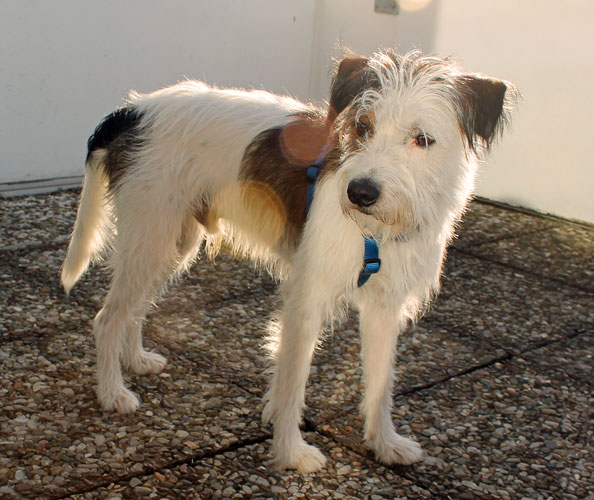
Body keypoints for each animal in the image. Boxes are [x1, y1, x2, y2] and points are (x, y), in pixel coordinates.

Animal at [61, 49, 516, 473]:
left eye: (422, 139)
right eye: (362, 127)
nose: (360, 192)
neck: (375, 233)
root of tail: (134, 109)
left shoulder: (385, 309)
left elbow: (381, 383)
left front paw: (385, 443)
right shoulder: (305, 301)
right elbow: (293, 381)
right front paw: (291, 451)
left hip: (170, 245)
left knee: (133, 309)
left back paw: (136, 360)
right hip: (151, 238)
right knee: (107, 318)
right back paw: (113, 392)